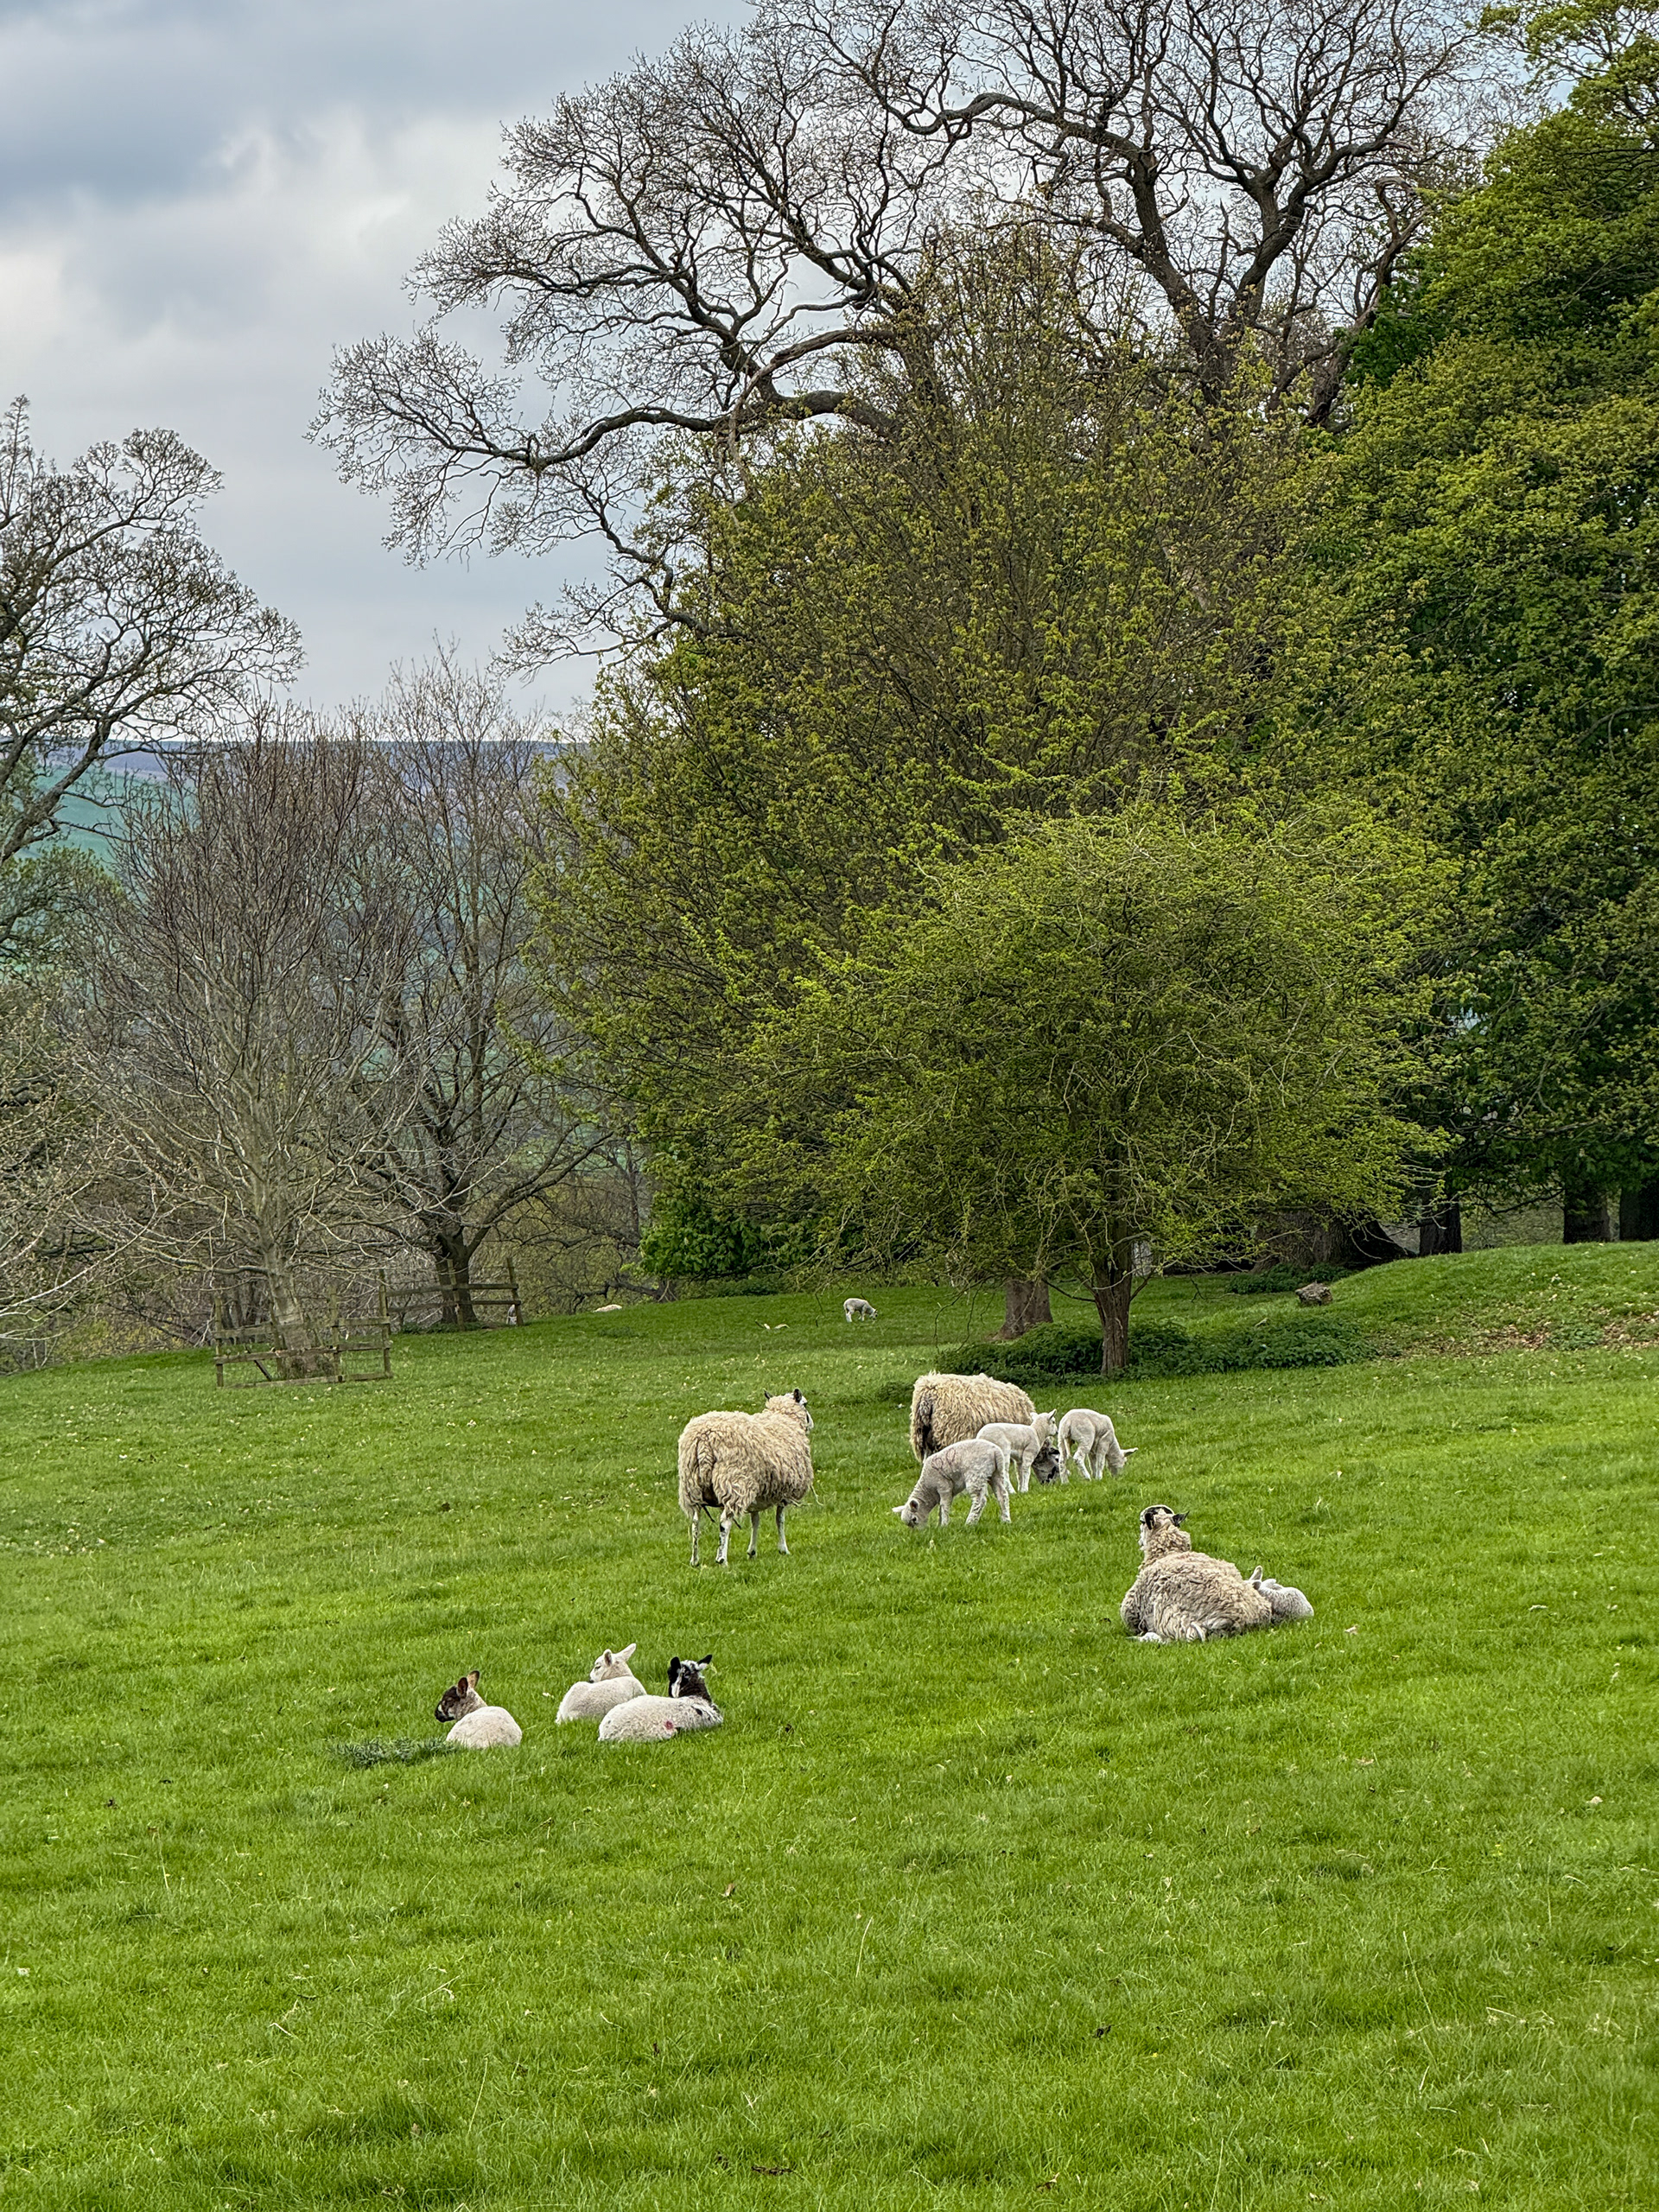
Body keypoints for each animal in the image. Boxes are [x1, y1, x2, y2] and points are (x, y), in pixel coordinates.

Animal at [677, 1389, 815, 1567]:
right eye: (805, 1404)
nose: (811, 1424)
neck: (783, 1419)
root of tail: (704, 1440)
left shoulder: (757, 1492)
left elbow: (755, 1520)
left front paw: (752, 1551)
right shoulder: (784, 1491)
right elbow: (780, 1519)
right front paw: (783, 1549)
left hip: (693, 1488)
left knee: (695, 1523)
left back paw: (695, 1559)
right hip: (734, 1482)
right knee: (724, 1523)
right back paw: (722, 1559)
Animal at [893, 1437, 1012, 1528]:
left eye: (914, 1519)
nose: (919, 1533)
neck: (928, 1489)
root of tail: (995, 1451)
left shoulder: (943, 1486)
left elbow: (944, 1506)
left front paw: (944, 1525)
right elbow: (941, 1508)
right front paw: (939, 1524)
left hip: (976, 1475)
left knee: (980, 1501)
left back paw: (969, 1523)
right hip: (996, 1473)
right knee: (1002, 1495)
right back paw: (1006, 1520)